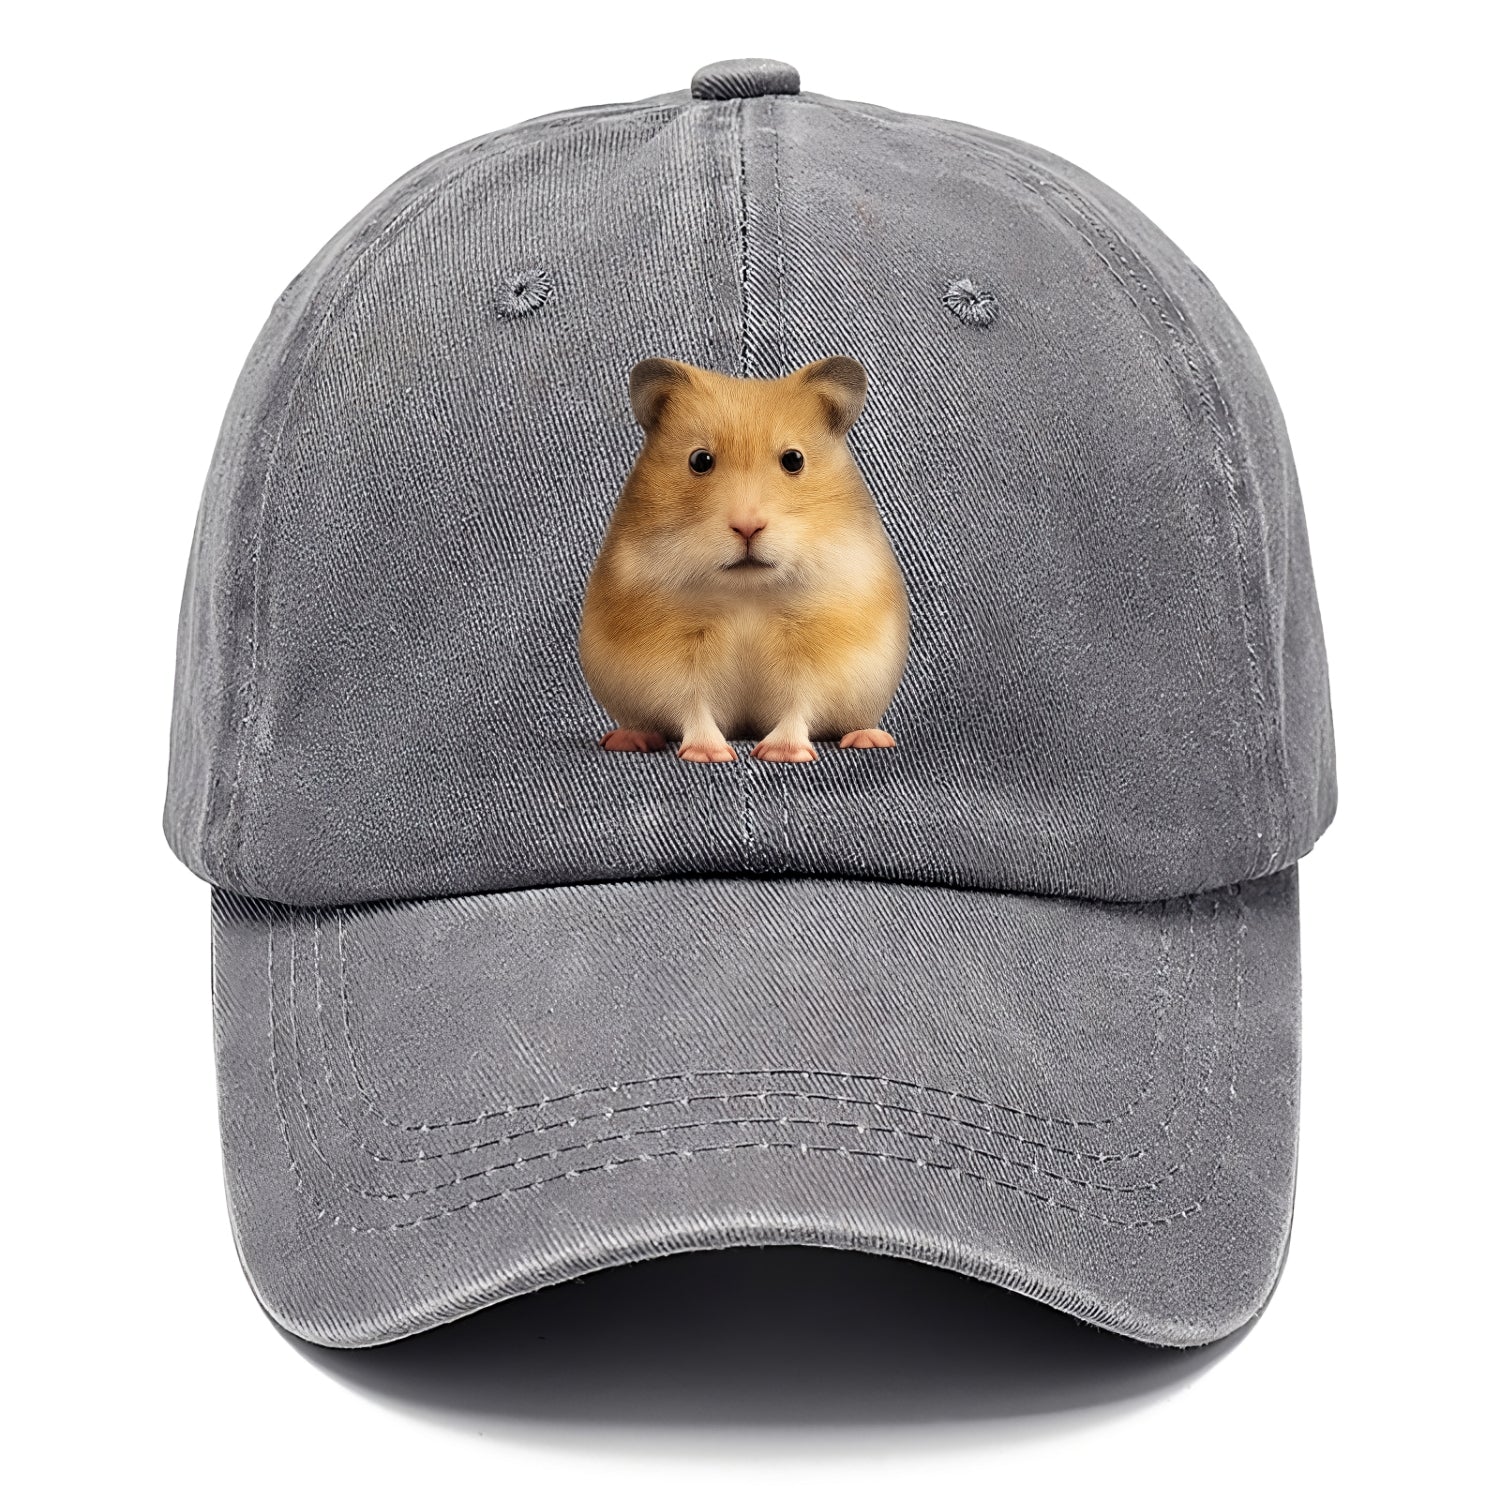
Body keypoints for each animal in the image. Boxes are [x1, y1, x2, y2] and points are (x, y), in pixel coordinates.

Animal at [579, 357, 910, 763]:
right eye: (700, 460)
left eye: (793, 460)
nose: (747, 527)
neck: (747, 592)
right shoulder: (671, 660)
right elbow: (692, 704)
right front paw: (709, 754)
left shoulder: (816, 654)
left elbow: (799, 703)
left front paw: (781, 753)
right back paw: (628, 739)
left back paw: (870, 738)